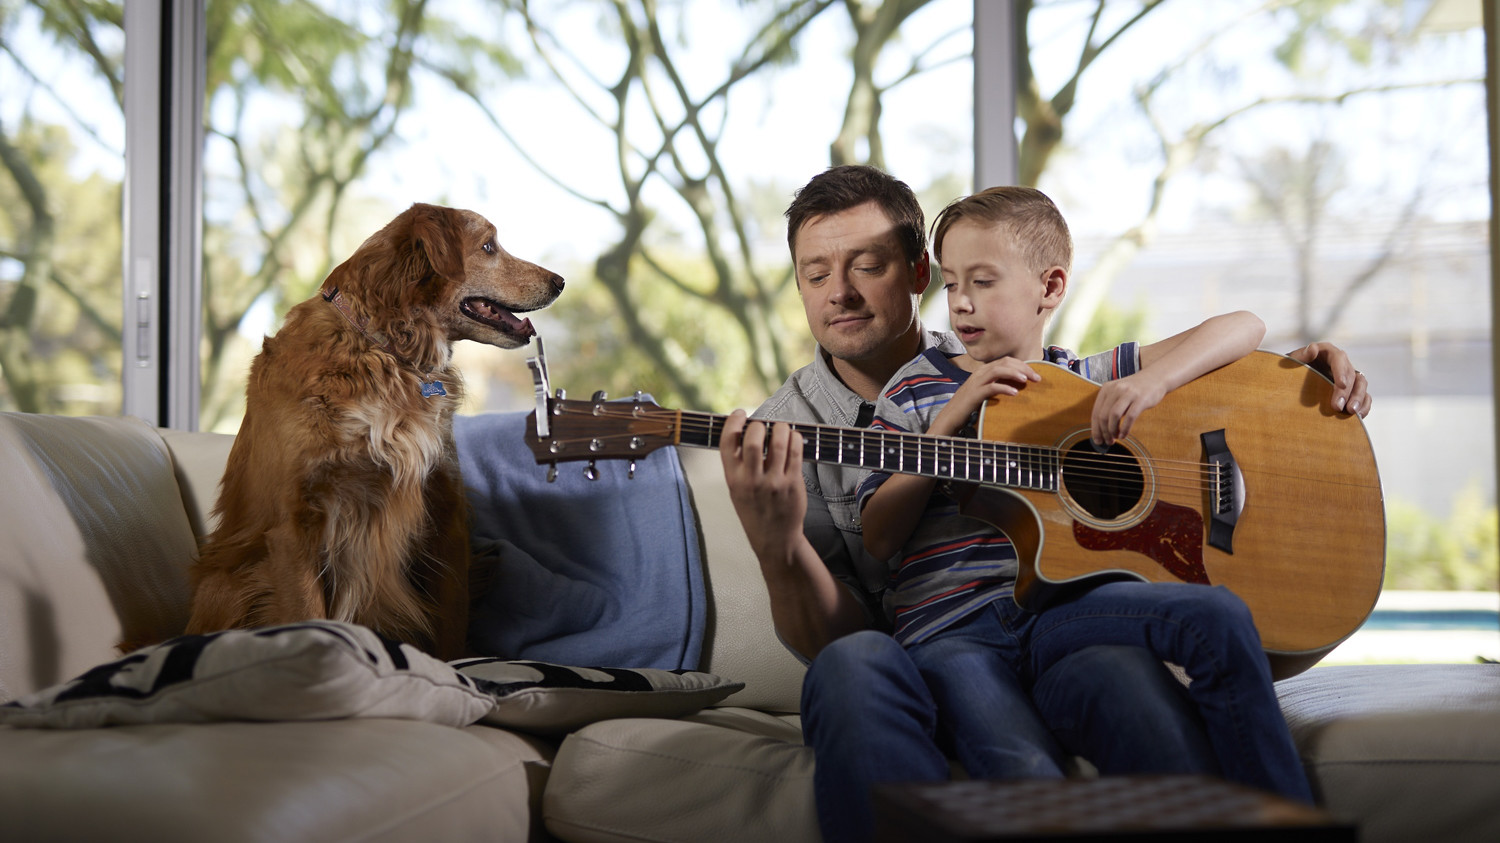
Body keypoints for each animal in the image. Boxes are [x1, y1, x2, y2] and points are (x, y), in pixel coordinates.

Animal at [184, 202, 561, 657]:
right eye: (489, 246)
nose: (560, 282)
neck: (386, 353)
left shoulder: (445, 510)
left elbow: (451, 624)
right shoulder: (293, 526)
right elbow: (307, 615)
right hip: (230, 581)